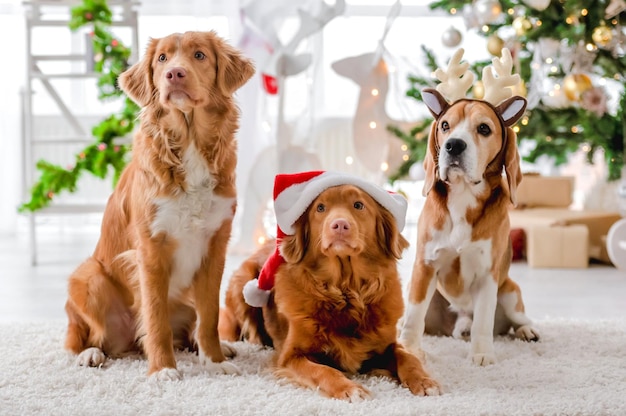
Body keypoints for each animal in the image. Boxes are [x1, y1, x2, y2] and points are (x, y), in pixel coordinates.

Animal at [65, 30, 254, 378]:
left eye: (199, 55)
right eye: (162, 59)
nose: (174, 74)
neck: (190, 142)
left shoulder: (215, 245)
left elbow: (209, 315)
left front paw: (214, 360)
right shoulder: (151, 247)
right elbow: (155, 318)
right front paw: (163, 369)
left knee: (192, 326)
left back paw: (220, 347)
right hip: (88, 276)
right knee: (85, 336)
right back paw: (90, 354)